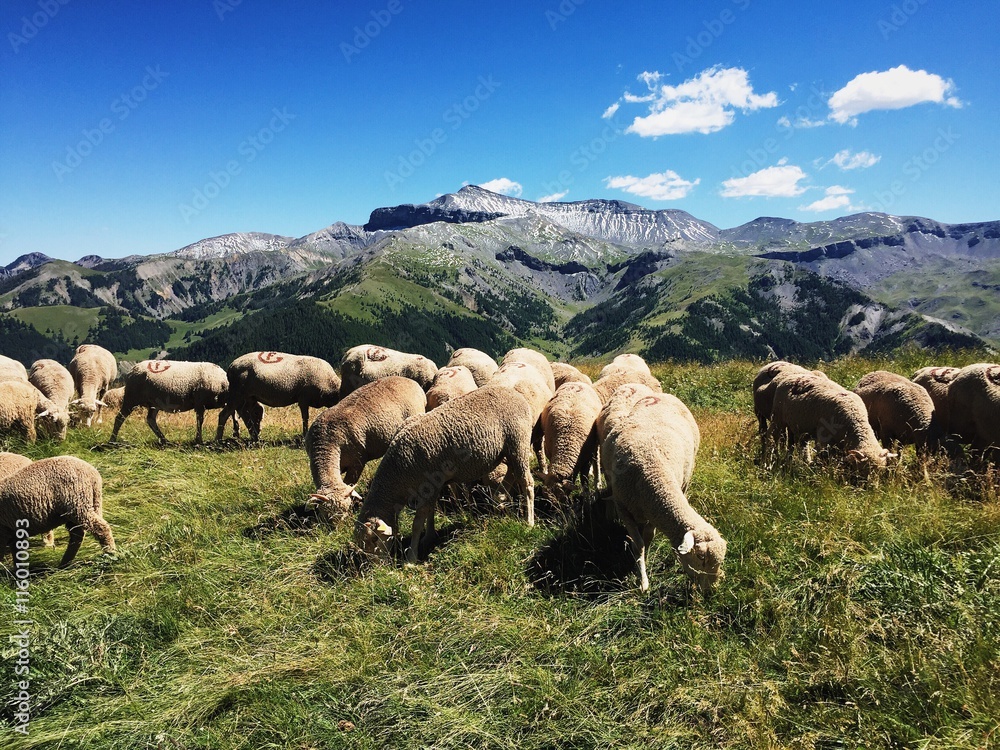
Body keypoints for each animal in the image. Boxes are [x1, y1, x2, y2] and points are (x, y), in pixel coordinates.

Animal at [305, 376, 427, 517]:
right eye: (325, 514)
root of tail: (410, 381)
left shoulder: (357, 462)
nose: (338, 526)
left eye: (346, 511)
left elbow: (350, 482)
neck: (326, 443)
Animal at [354, 385, 535, 562]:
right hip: (509, 449)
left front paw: (411, 558)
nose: (378, 566)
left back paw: (529, 522)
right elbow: (430, 512)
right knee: (512, 473)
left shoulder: (427, 487)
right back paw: (501, 499)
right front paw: (429, 536)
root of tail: (516, 394)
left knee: (526, 482)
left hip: (518, 440)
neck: (399, 474)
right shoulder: (433, 487)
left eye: (374, 539)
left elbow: (417, 523)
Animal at [601, 392, 725, 592]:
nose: (710, 591)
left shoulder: (652, 513)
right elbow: (638, 544)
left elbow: (648, 538)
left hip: (687, 477)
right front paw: (642, 579)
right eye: (701, 557)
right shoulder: (624, 508)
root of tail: (663, 395)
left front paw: (644, 561)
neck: (654, 475)